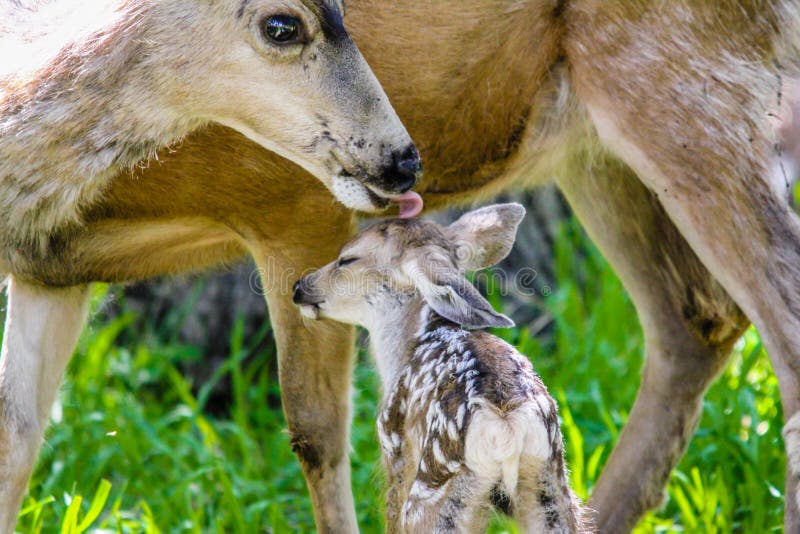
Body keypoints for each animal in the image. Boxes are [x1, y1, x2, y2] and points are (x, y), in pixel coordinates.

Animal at [1, 1, 800, 534]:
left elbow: (316, 433)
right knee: (694, 319)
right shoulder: (46, 266)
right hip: (595, 147)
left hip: (690, 84)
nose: (405, 159)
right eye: (285, 25)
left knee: (779, 330)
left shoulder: (292, 204)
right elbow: (16, 439)